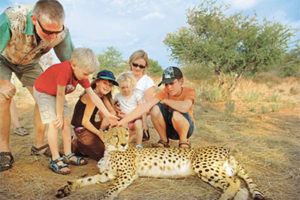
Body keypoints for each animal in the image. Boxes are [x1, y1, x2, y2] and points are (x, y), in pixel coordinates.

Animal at [56, 127, 264, 199]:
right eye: (115, 135)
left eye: (126, 135)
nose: (123, 143)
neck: (111, 150)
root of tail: (227, 149)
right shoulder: (107, 174)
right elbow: (85, 180)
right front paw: (67, 189)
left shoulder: (127, 174)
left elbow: (111, 187)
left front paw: (107, 197)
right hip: (209, 173)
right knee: (238, 185)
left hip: (203, 166)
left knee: (234, 183)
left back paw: (223, 198)